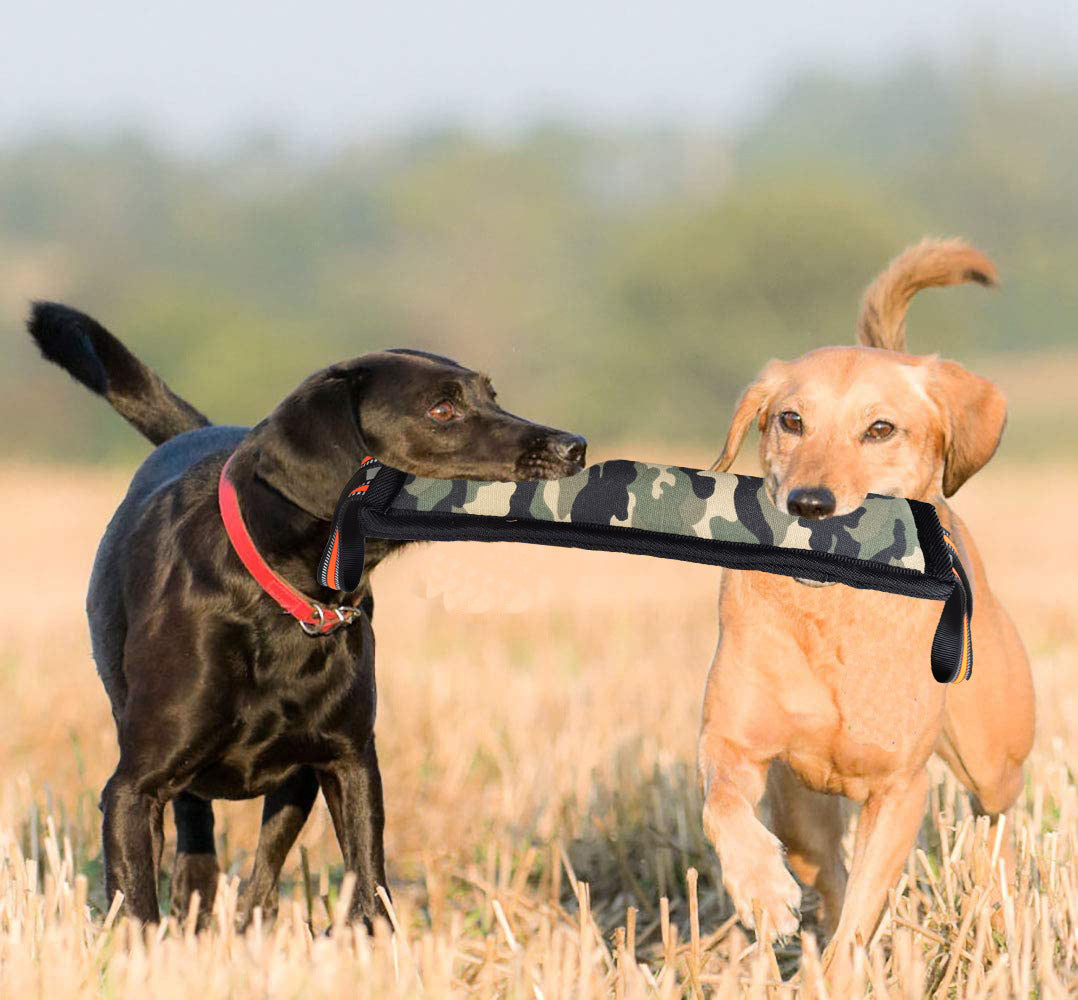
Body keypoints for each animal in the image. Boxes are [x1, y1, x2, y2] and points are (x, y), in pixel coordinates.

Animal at [29, 301, 586, 926]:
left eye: (492, 395)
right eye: (442, 410)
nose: (575, 446)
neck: (286, 599)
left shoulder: (349, 763)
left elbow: (370, 888)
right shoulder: (132, 790)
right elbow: (139, 908)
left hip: (297, 781)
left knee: (262, 872)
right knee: (199, 842)